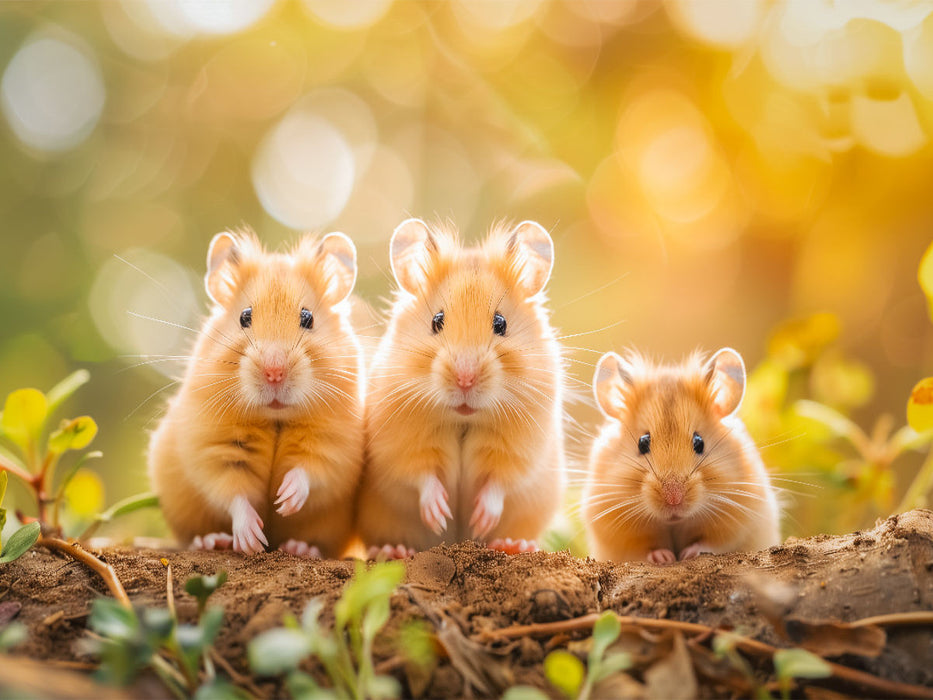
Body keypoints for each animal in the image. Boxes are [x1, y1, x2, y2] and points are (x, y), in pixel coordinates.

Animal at [147, 231, 362, 556]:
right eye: (244, 317)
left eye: (308, 318)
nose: (274, 372)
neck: (274, 417)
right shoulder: (215, 450)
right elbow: (234, 493)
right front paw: (252, 540)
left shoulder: (332, 443)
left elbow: (308, 469)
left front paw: (284, 499)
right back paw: (212, 541)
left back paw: (301, 547)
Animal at [354, 216, 560, 556]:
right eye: (437, 320)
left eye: (501, 323)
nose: (465, 378)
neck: (463, 419)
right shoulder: (401, 442)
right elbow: (421, 475)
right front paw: (439, 516)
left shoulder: (520, 448)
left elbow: (500, 483)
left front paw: (480, 521)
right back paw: (393, 550)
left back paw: (514, 544)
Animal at [584, 348, 780, 568]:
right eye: (642, 443)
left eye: (699, 442)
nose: (674, 499)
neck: (674, 522)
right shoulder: (612, 525)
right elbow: (643, 548)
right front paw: (664, 557)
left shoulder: (740, 516)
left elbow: (713, 542)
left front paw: (688, 553)